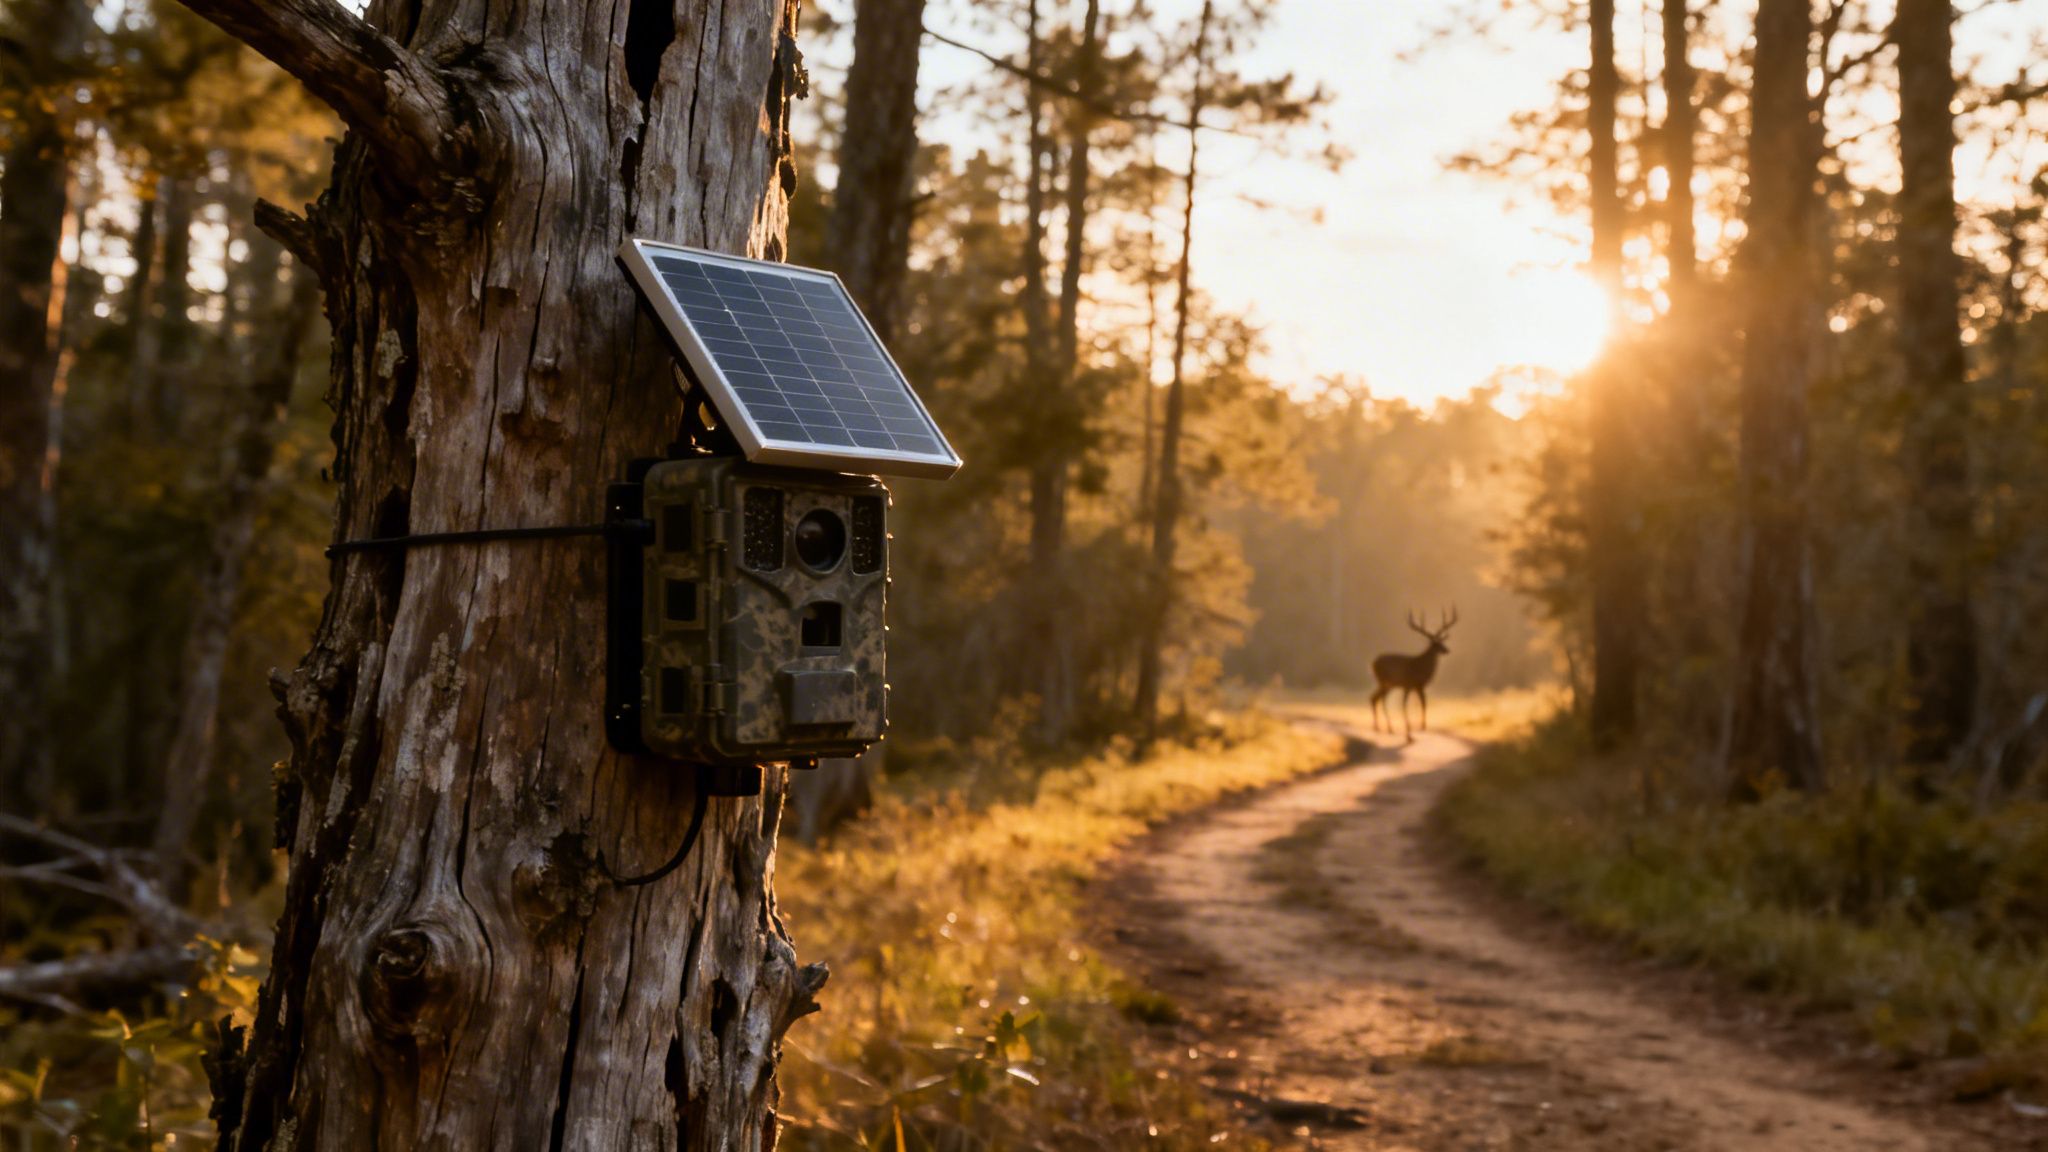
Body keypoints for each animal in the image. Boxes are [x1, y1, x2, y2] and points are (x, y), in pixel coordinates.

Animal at [1370, 607, 1457, 739]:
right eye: (1435, 644)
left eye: (1442, 641)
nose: (1447, 650)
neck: (1421, 666)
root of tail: (1373, 663)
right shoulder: (1411, 684)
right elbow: (1412, 704)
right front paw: (1415, 728)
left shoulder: (1416, 686)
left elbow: (1421, 703)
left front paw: (1419, 727)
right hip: (1384, 681)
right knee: (1380, 699)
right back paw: (1389, 728)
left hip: (1387, 684)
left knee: (1374, 698)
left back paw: (1377, 728)